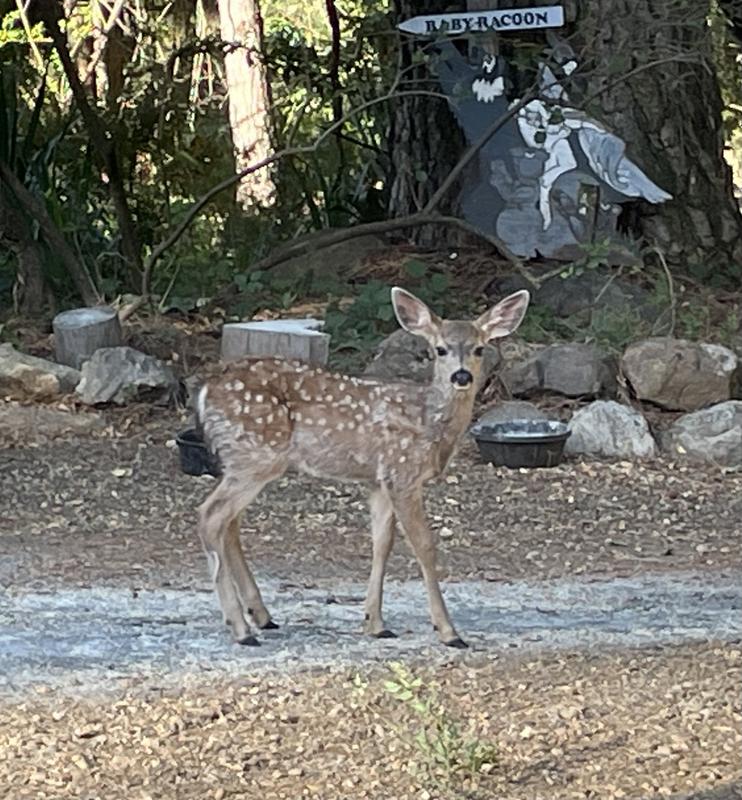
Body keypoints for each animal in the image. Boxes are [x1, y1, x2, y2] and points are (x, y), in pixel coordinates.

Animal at [196, 287, 530, 648]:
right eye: (440, 350)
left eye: (479, 348)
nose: (462, 376)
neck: (430, 422)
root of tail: (204, 391)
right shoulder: (402, 472)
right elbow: (424, 545)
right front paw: (448, 630)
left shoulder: (378, 481)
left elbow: (381, 544)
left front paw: (375, 622)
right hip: (257, 455)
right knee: (211, 515)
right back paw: (241, 628)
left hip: (244, 460)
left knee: (229, 523)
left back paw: (260, 615)